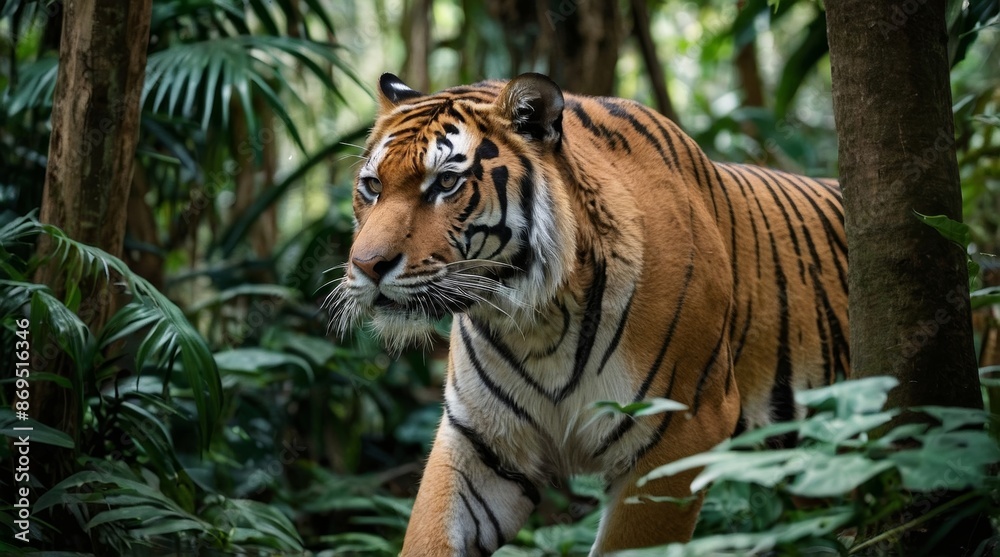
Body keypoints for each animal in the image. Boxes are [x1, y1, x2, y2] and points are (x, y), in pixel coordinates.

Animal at [326, 72, 849, 556]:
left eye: (447, 183)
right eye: (372, 186)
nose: (367, 266)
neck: (537, 323)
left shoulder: (681, 433)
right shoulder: (479, 441)